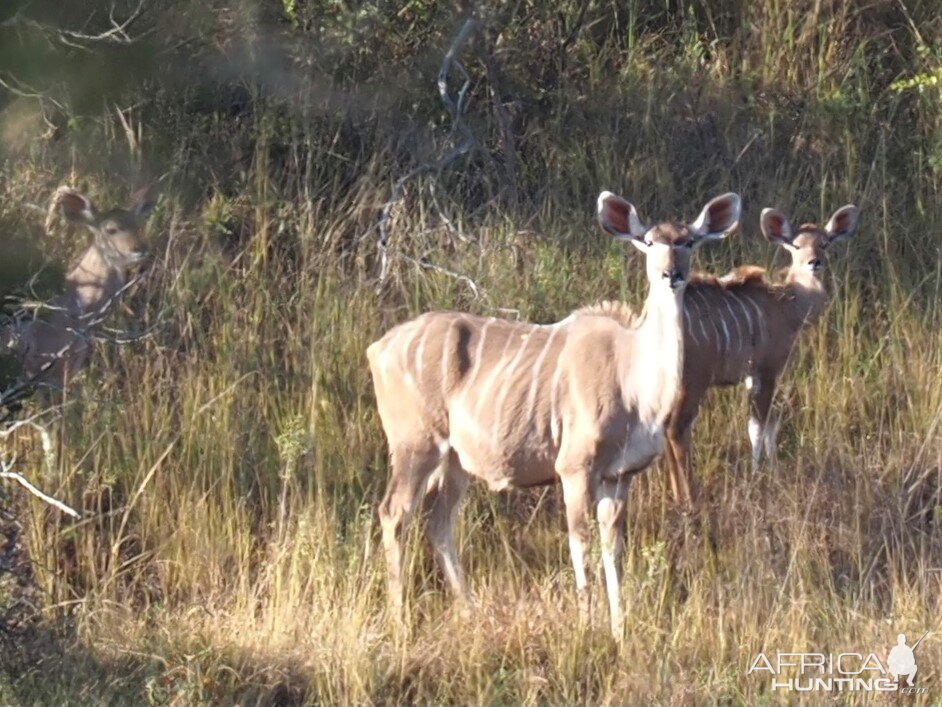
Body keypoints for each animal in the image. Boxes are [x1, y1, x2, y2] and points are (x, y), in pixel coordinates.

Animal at [368, 191, 744, 632]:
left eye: (689, 241)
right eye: (649, 241)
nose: (672, 274)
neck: (634, 382)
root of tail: (377, 348)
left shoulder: (619, 476)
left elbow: (613, 549)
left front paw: (619, 629)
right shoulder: (574, 467)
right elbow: (580, 543)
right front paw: (587, 625)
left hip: (456, 460)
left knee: (438, 523)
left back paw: (472, 610)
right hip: (415, 444)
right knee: (394, 513)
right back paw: (399, 620)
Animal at [664, 202, 864, 506]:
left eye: (825, 243)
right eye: (796, 245)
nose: (814, 262)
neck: (787, 304)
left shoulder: (753, 375)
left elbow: (770, 424)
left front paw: (772, 469)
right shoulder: (767, 369)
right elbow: (757, 427)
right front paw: (757, 475)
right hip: (693, 381)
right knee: (676, 429)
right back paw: (689, 500)